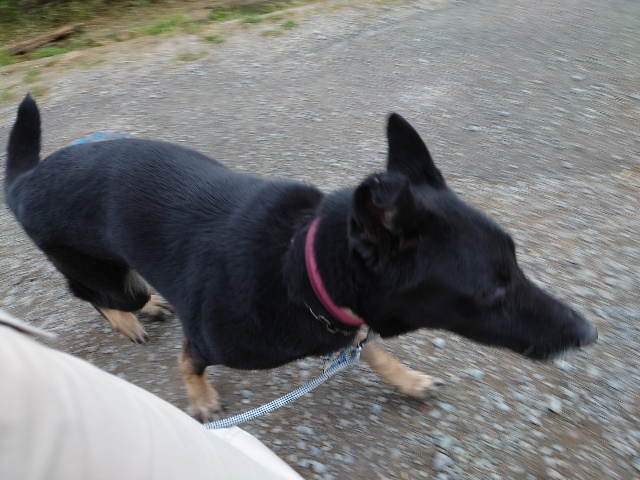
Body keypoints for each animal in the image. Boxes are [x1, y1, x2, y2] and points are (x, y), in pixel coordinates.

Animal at [5, 95, 597, 422]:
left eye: (515, 263)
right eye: (490, 289)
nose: (589, 334)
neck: (299, 267)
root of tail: (26, 178)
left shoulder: (347, 323)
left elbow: (369, 349)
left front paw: (405, 378)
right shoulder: (208, 336)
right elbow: (188, 361)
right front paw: (199, 398)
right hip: (109, 276)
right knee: (89, 292)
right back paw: (132, 317)